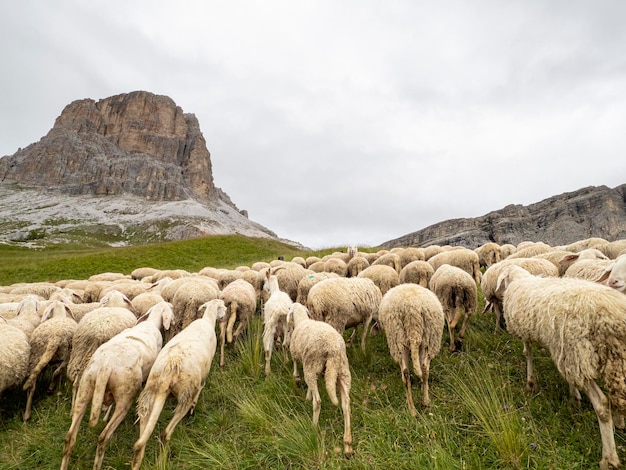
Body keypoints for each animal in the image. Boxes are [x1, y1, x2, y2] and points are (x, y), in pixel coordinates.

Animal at [59, 302, 173, 470]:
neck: (151, 322)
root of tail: (105, 366)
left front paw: (105, 413)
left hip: (85, 388)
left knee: (69, 437)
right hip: (125, 398)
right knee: (103, 437)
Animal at [130, 298, 225, 470]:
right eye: (223, 306)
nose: (226, 314)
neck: (208, 319)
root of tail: (170, 368)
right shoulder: (202, 380)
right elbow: (200, 391)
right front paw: (193, 409)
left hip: (149, 392)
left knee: (142, 434)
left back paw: (137, 462)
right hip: (185, 393)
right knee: (165, 433)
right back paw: (161, 460)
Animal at [286, 302, 354, 458]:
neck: (302, 320)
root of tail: (333, 348)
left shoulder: (298, 355)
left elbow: (295, 364)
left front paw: (301, 387)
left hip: (312, 366)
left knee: (317, 401)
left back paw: (313, 427)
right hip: (342, 370)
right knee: (346, 404)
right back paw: (347, 444)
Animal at [376, 280, 444, 416]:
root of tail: (413, 309)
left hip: (398, 338)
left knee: (406, 373)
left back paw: (412, 409)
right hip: (428, 338)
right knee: (424, 369)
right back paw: (424, 402)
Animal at [494, 266, 626, 468]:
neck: (519, 279)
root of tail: (612, 316)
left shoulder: (537, 338)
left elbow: (528, 353)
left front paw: (530, 382)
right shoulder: (565, 352)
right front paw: (574, 394)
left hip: (579, 351)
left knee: (602, 405)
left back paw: (609, 458)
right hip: (614, 359)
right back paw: (619, 422)